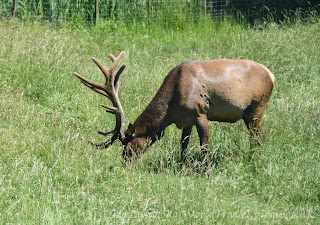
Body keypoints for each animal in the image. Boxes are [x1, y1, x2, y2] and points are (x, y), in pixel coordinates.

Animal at [74, 51, 274, 163]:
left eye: (128, 147)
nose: (125, 165)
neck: (170, 111)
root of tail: (271, 75)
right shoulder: (186, 121)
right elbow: (183, 146)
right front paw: (180, 166)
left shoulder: (201, 112)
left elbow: (204, 146)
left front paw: (208, 172)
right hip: (250, 114)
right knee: (260, 135)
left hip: (257, 107)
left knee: (257, 136)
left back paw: (253, 159)